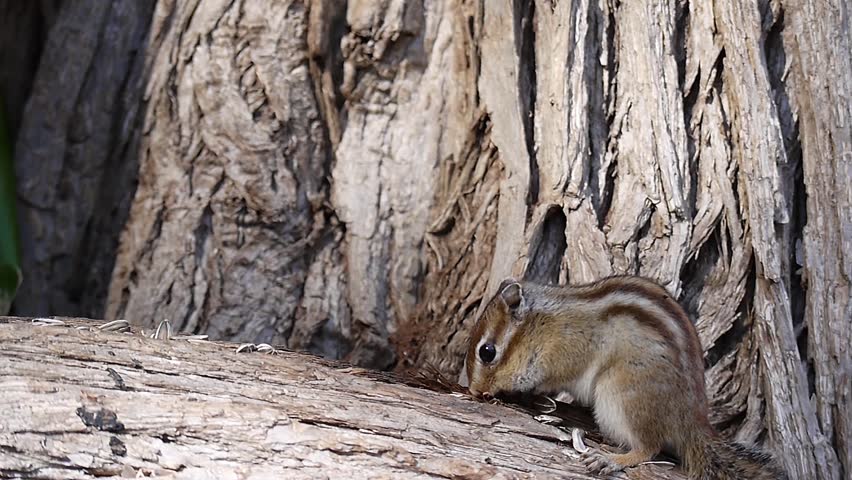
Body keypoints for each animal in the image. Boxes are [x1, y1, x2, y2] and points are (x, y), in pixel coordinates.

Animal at [463, 276, 787, 480]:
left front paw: (529, 392)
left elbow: (552, 378)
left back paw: (612, 459)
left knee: (649, 447)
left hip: (622, 394)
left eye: (487, 352)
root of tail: (690, 422)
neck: (541, 325)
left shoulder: (566, 353)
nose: (476, 391)